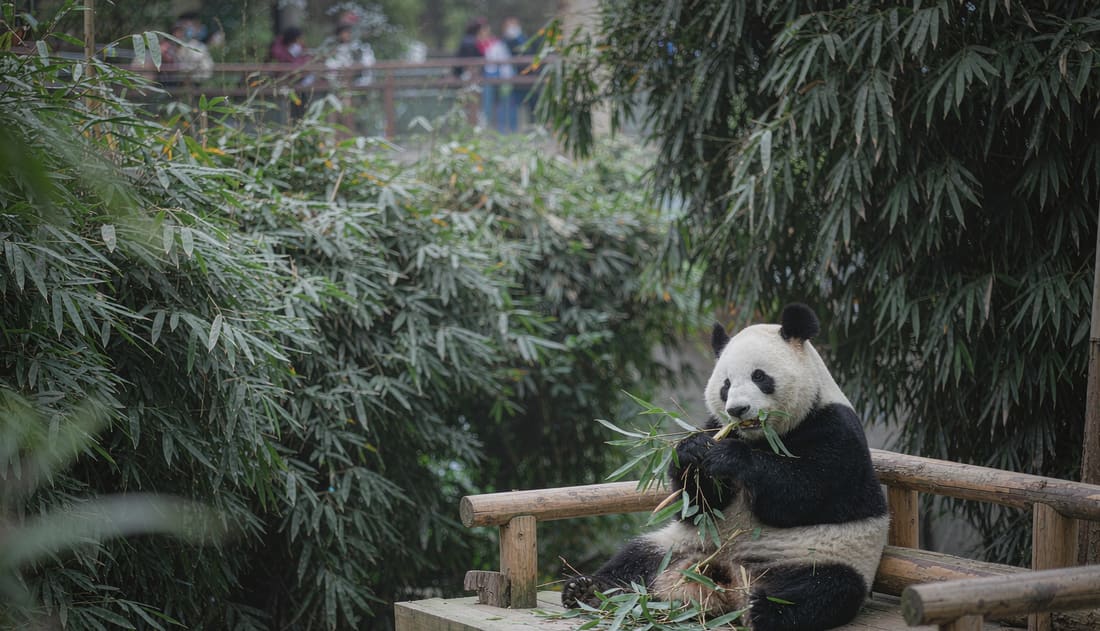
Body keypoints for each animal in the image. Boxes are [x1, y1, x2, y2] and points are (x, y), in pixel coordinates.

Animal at [561, 303, 889, 631]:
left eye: (759, 376)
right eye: (726, 385)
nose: (737, 409)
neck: (762, 437)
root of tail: (728, 579)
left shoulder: (835, 431)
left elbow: (805, 493)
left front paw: (731, 457)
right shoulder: (716, 425)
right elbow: (700, 504)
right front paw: (693, 451)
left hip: (819, 557)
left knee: (820, 590)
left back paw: (763, 609)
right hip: (681, 544)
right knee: (636, 560)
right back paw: (587, 590)